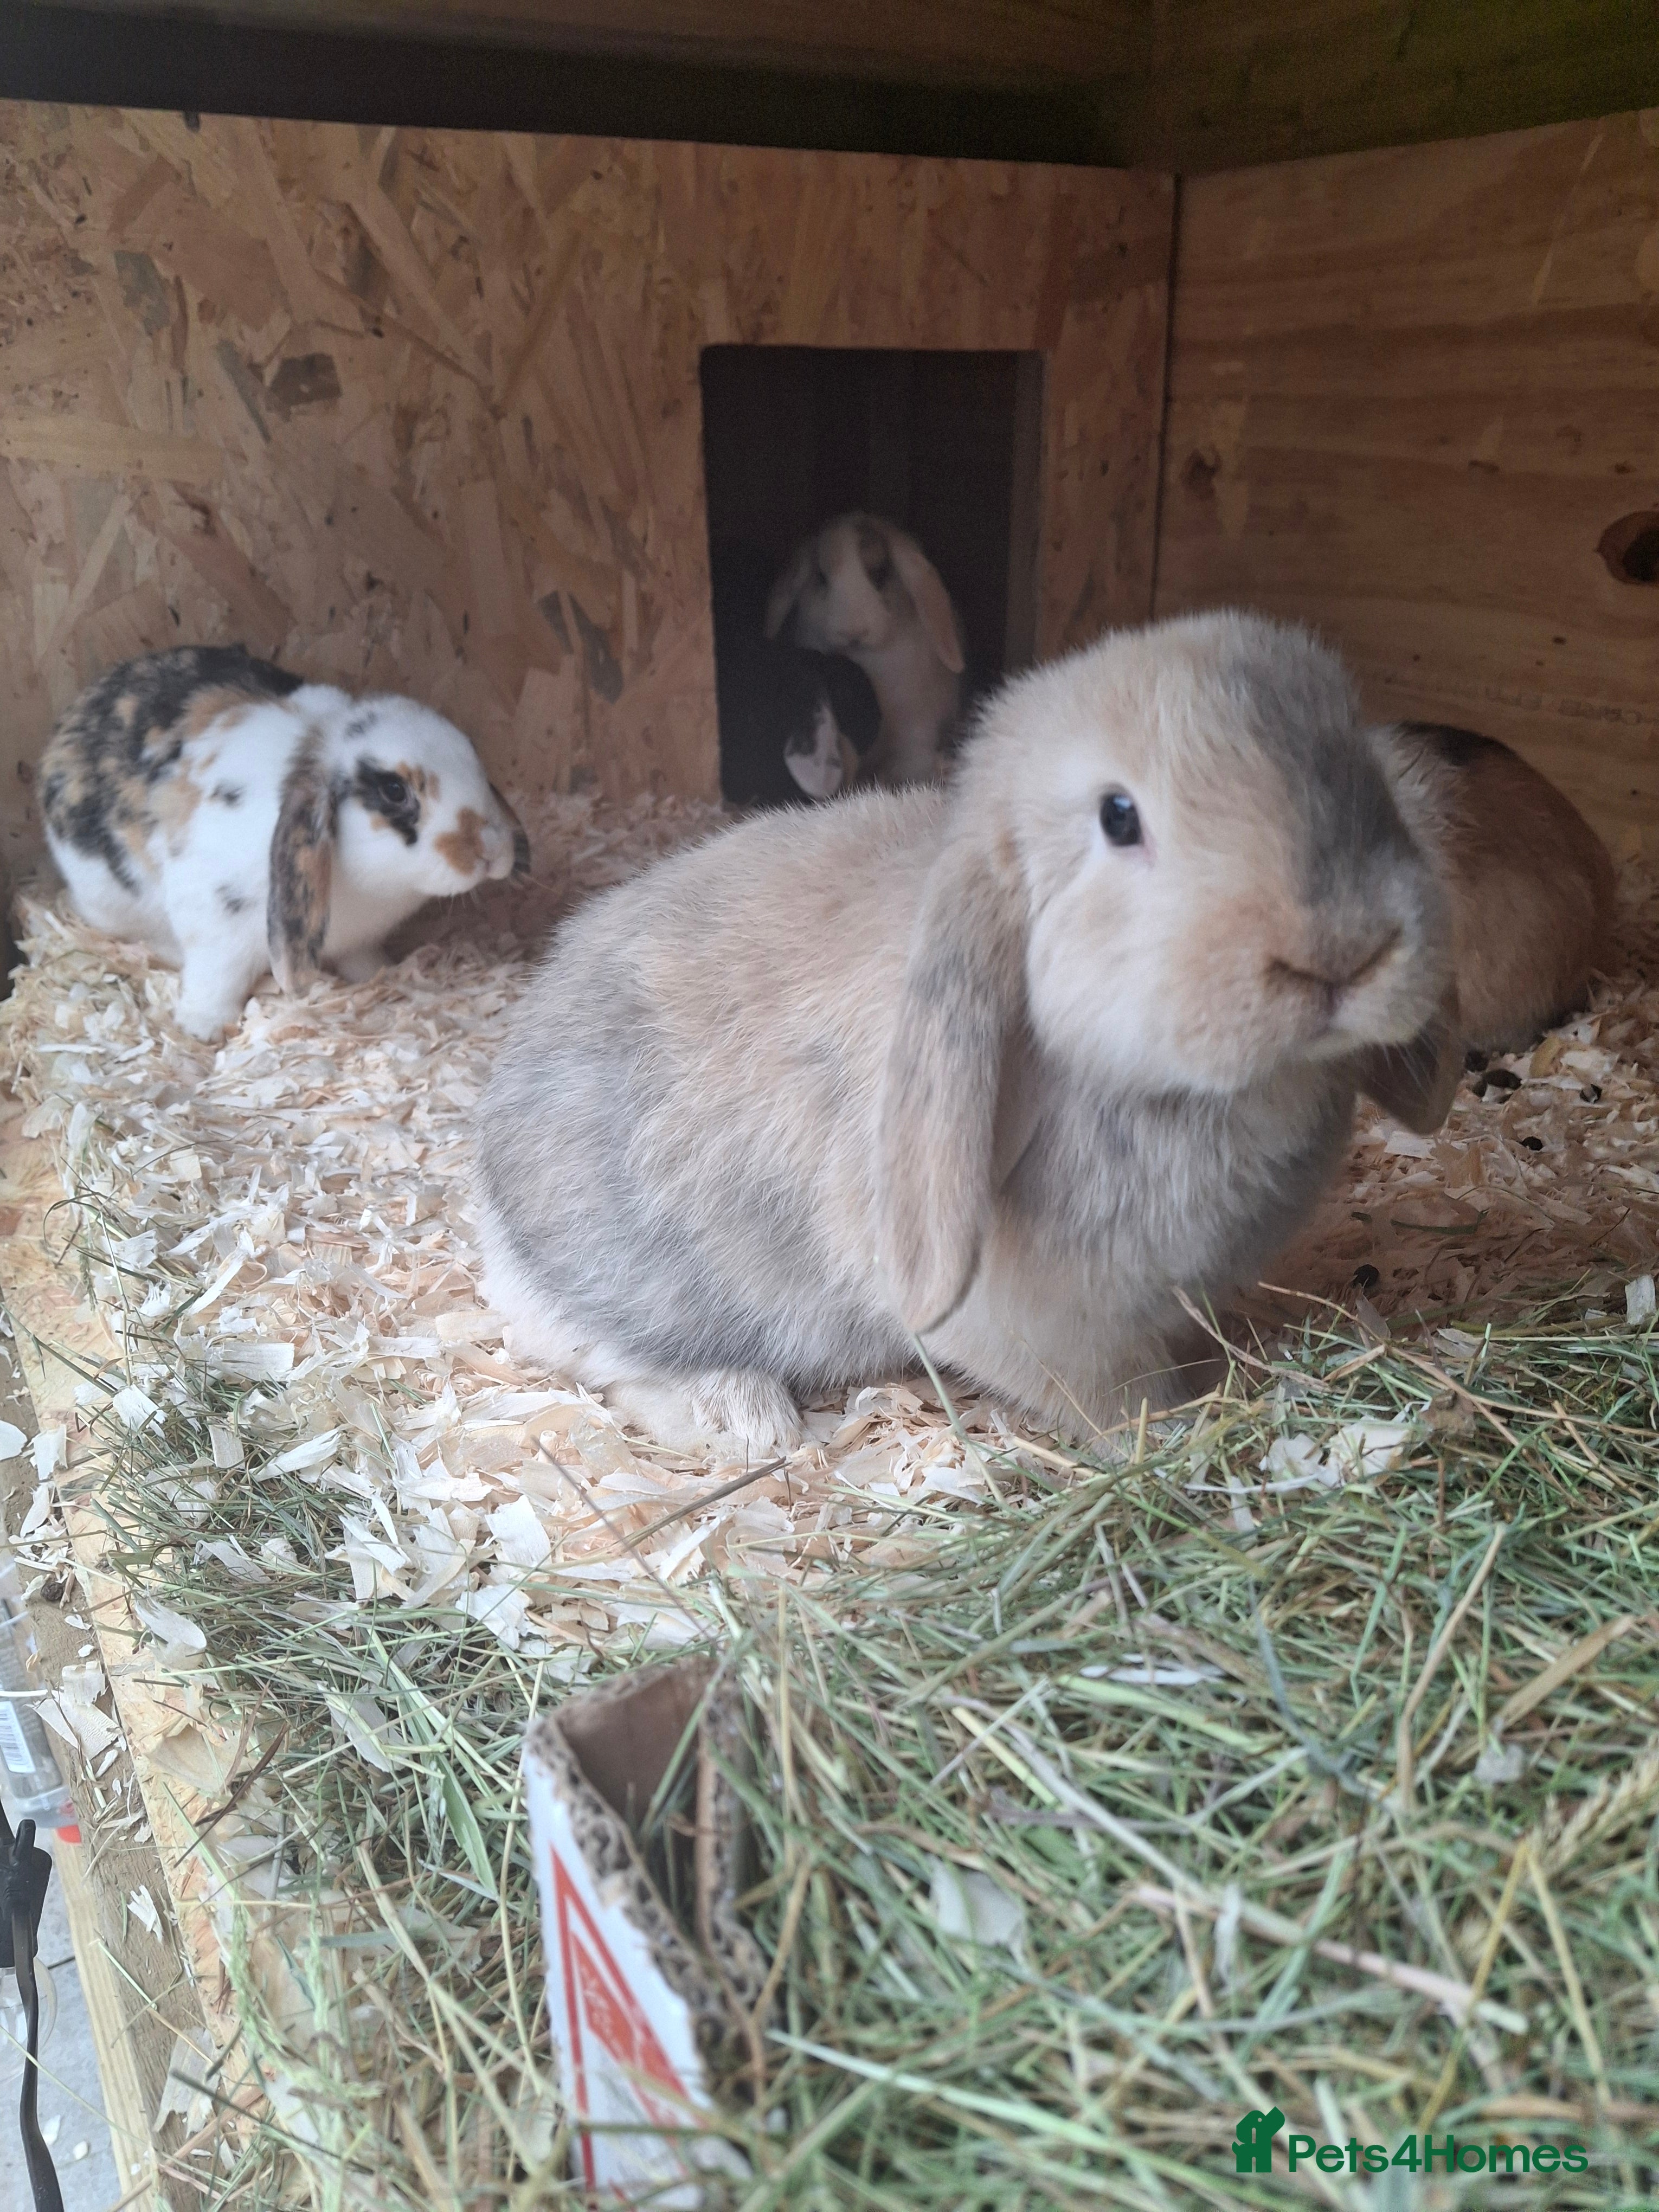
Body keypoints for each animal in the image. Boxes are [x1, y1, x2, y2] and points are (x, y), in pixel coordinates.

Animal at [41, 644, 529, 1041]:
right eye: (394, 791)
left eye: (473, 752)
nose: (492, 848)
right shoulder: (216, 929)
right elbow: (215, 980)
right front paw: (201, 1028)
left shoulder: (359, 940)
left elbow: (363, 962)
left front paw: (379, 974)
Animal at [474, 609, 1459, 1457]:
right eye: (1119, 816)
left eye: (1360, 772)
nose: (1340, 954)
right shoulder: (1037, 1322)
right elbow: (1117, 1400)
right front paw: (1179, 1430)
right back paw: (744, 1416)